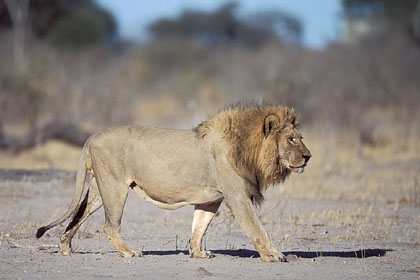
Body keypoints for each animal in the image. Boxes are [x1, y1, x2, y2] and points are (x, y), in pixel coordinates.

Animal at [36, 103, 310, 262]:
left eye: (300, 137)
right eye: (291, 139)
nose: (308, 157)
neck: (248, 150)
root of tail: (91, 137)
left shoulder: (212, 199)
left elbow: (199, 227)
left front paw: (198, 253)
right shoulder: (236, 195)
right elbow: (257, 228)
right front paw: (273, 255)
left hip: (97, 189)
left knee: (77, 215)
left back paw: (65, 247)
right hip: (114, 187)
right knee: (109, 226)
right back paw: (129, 252)